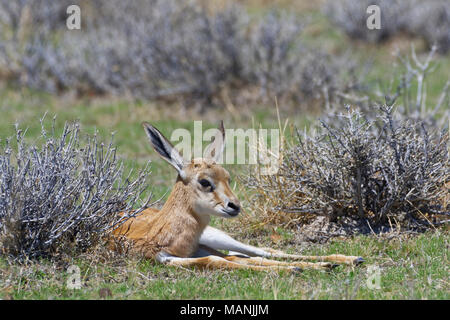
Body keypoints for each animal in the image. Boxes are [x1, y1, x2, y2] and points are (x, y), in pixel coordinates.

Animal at [113, 121, 366, 272]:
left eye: (227, 177)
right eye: (204, 181)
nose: (234, 206)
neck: (160, 231)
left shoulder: (199, 247)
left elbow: (243, 258)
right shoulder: (168, 258)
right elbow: (221, 260)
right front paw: (294, 269)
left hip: (216, 236)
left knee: (261, 251)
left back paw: (346, 260)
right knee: (243, 255)